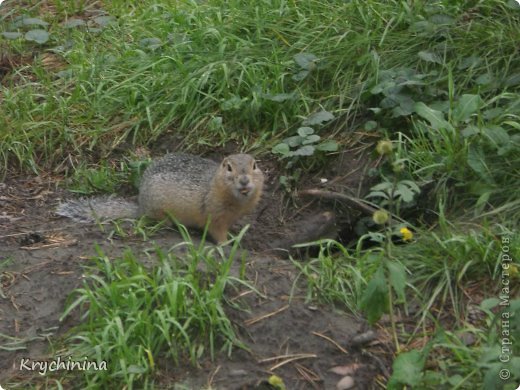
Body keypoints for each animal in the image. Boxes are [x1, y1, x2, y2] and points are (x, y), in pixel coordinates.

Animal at [57, 153, 264, 242]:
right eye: (228, 167)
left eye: (255, 165)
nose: (244, 180)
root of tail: (141, 206)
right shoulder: (214, 216)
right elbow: (217, 232)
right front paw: (226, 243)